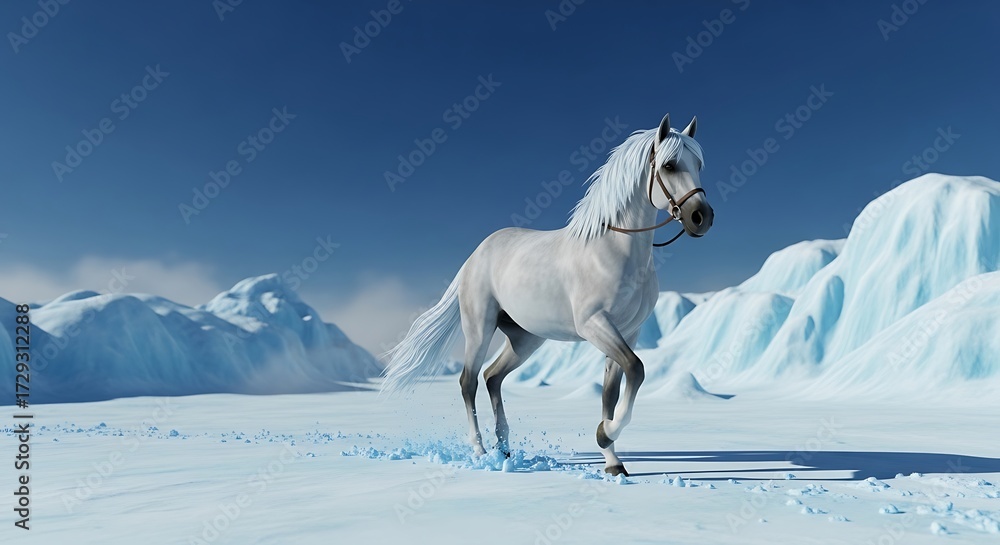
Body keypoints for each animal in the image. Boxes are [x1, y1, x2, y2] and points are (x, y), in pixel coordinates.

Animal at [382, 114, 712, 476]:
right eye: (669, 165)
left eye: (698, 164)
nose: (702, 217)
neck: (614, 250)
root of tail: (475, 256)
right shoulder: (594, 325)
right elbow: (636, 370)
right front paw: (604, 434)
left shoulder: (628, 331)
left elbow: (613, 391)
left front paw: (612, 460)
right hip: (480, 328)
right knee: (469, 381)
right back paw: (481, 451)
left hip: (525, 338)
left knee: (492, 377)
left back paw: (505, 450)